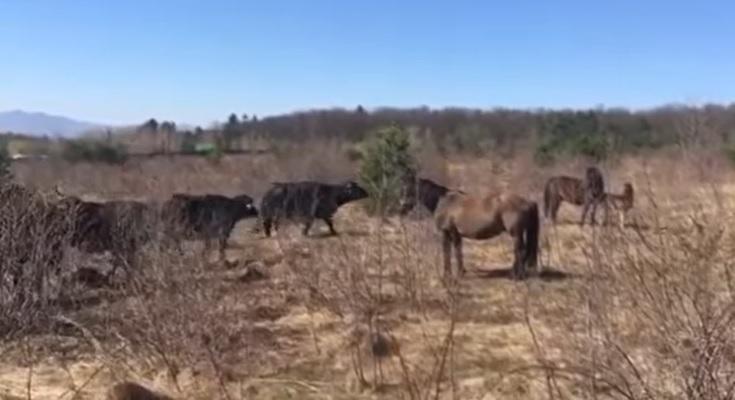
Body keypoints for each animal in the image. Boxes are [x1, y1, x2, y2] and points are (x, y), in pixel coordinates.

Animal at [402, 177, 540, 278]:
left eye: (410, 190)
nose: (402, 208)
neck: (444, 202)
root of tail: (528, 201)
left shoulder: (449, 232)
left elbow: (452, 251)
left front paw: (455, 274)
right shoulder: (454, 234)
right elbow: (453, 251)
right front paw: (454, 272)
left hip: (516, 233)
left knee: (520, 251)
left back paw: (517, 275)